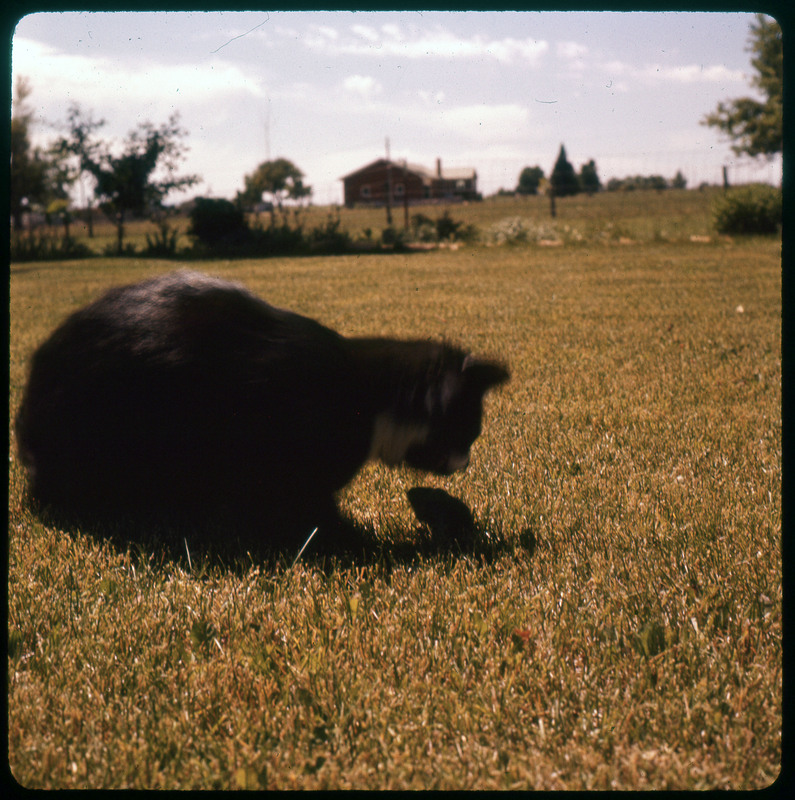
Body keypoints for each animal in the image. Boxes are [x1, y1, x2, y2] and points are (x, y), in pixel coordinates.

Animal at [17, 272, 510, 548]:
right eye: (467, 433)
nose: (467, 463)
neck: (369, 392)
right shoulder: (291, 467)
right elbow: (310, 517)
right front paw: (350, 541)